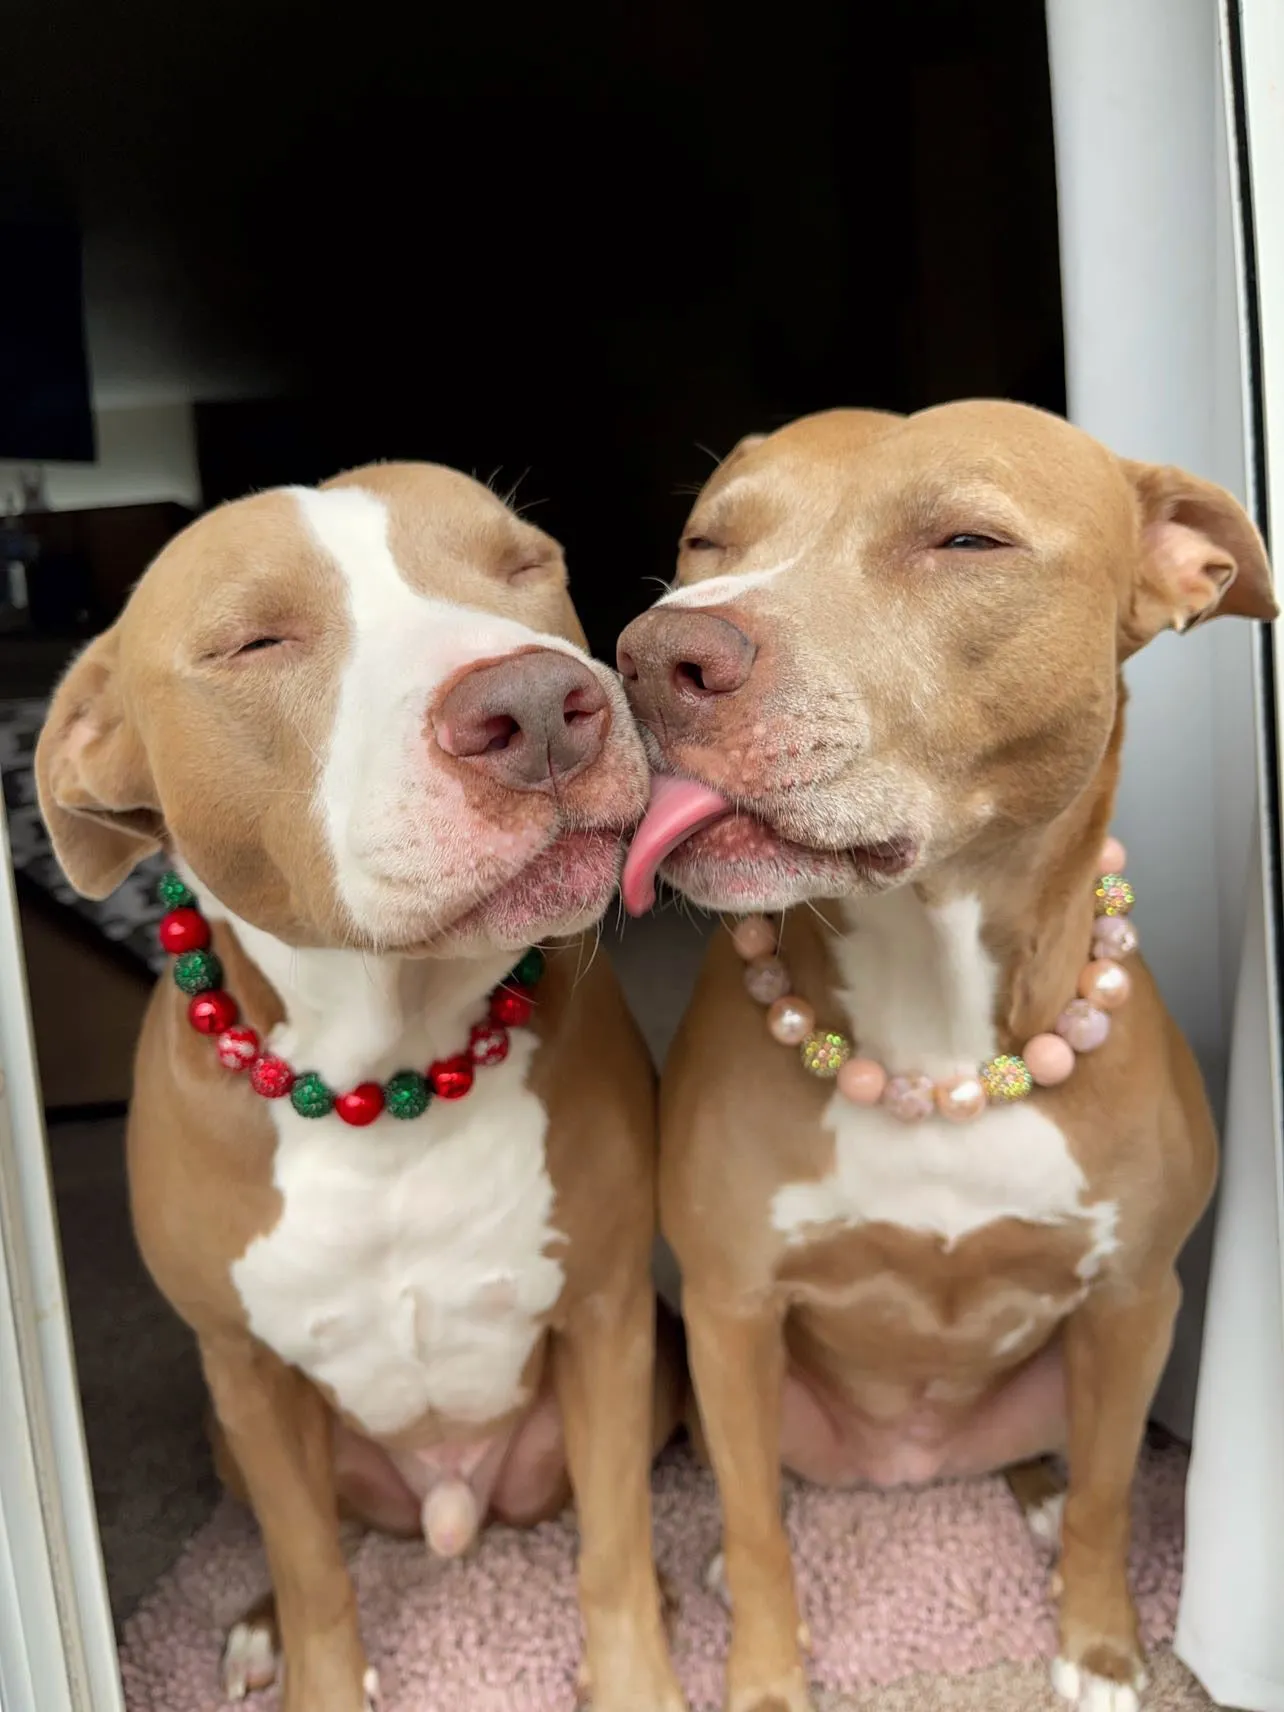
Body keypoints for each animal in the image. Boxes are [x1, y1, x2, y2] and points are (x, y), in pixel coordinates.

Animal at [35, 465, 688, 1712]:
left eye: (523, 562)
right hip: (231, 1425)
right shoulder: (247, 1369)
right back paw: (251, 1627)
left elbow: (618, 1544)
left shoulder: (607, 1314)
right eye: (253, 640)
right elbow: (312, 1570)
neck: (389, 1074)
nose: (539, 705)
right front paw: (305, 1655)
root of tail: (453, 1506)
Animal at [616, 404, 1280, 1712]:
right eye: (708, 537)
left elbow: (1115, 1491)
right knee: (759, 1487)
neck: (936, 1037)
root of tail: (910, 1467)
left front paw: (1101, 1644)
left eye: (967, 541)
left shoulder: (1137, 1298)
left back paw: (1036, 1498)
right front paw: (764, 1675)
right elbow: (760, 1524)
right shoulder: (730, 1304)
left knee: (1063, 1455)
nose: (653, 657)